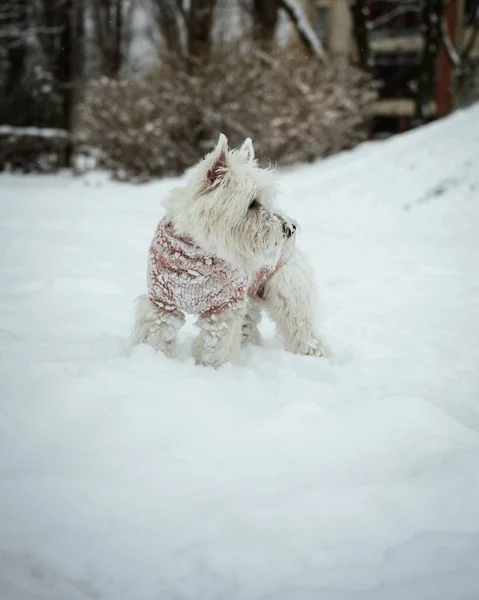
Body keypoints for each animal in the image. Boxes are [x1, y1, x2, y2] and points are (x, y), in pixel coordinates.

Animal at [131, 134, 328, 368]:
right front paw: (153, 361)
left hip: (287, 290)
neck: (196, 256)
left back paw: (315, 355)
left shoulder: (223, 308)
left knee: (301, 328)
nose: (290, 228)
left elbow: (214, 348)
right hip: (249, 298)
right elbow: (155, 336)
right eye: (252, 203)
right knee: (248, 326)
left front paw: (210, 371)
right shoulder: (163, 303)